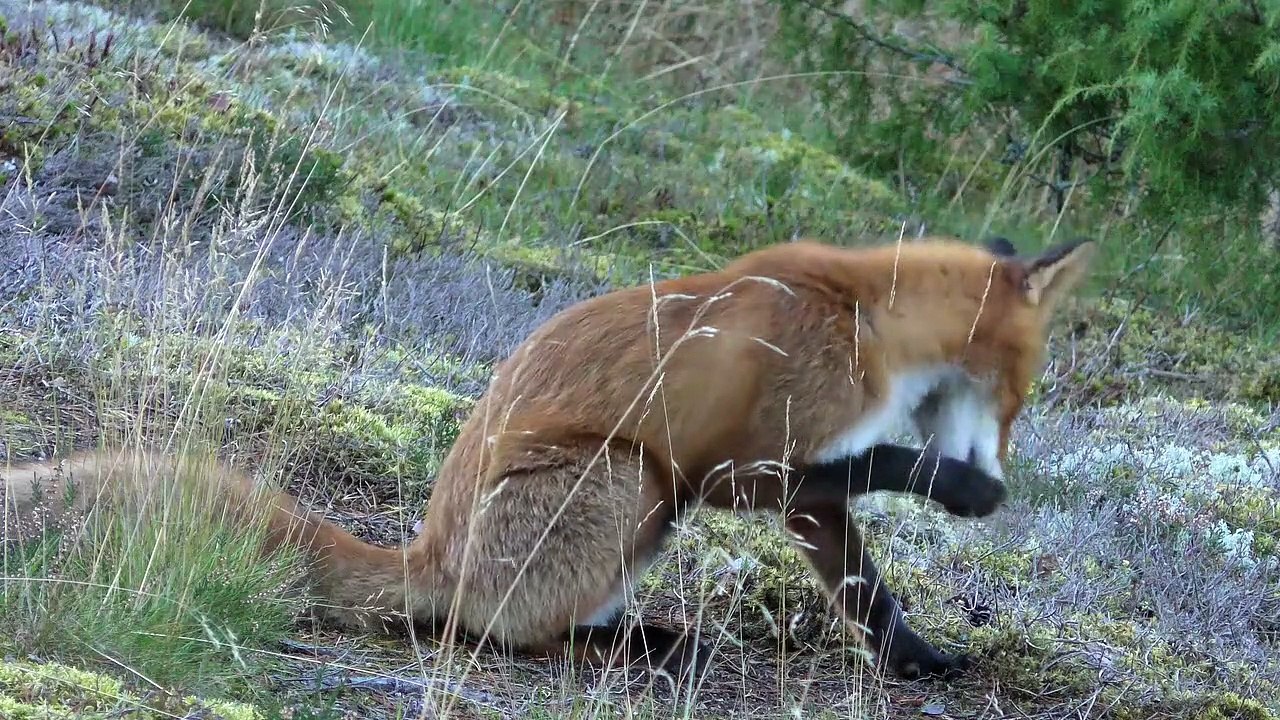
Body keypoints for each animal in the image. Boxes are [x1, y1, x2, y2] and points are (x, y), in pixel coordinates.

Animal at [1, 234, 1093, 684]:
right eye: (1021, 391)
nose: (1001, 480)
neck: (861, 317)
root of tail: (429, 554)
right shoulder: (741, 468)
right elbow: (883, 467)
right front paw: (954, 485)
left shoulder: (803, 493)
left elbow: (868, 592)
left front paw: (917, 661)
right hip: (629, 480)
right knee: (500, 631)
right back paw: (617, 648)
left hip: (640, 508)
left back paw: (643, 637)